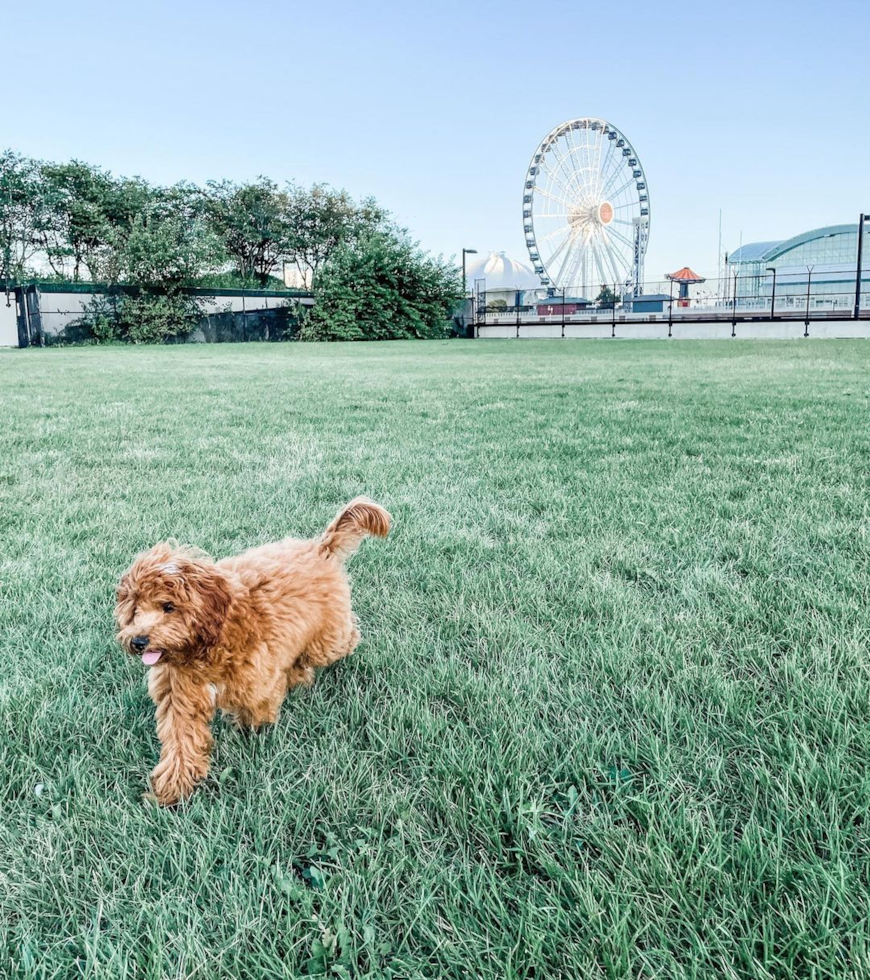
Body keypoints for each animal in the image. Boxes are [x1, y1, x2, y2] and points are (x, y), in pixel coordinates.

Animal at [116, 498, 392, 804]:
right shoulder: (180, 696)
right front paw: (171, 789)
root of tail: (319, 548)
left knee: (343, 640)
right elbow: (181, 741)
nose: (138, 641)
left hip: (328, 640)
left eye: (168, 606)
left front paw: (251, 734)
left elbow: (257, 712)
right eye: (135, 609)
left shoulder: (256, 679)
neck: (205, 645)